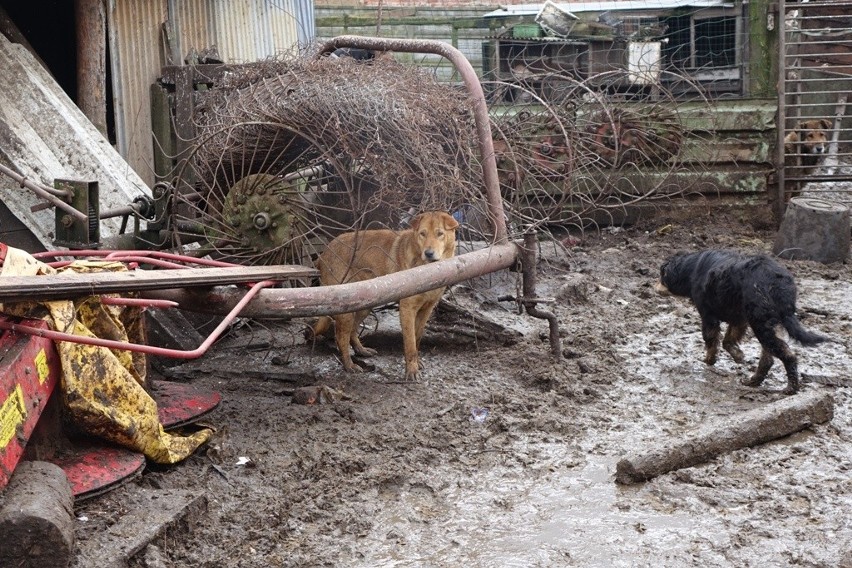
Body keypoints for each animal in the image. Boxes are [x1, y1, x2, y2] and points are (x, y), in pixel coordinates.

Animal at [312, 211, 460, 380]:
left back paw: (361, 350)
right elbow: (410, 343)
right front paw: (412, 370)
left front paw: (417, 363)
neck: (427, 271)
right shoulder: (407, 309)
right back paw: (349, 365)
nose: (428, 253)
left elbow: (417, 337)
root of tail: (323, 253)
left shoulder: (427, 309)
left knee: (353, 331)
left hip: (364, 306)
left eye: (440, 234)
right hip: (346, 309)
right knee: (341, 337)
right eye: (422, 234)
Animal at [656, 248, 828, 394]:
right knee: (768, 357)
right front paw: (739, 356)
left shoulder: (708, 315)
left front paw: (709, 360)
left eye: (661, 275)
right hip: (770, 323)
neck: (689, 270)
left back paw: (790, 388)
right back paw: (753, 381)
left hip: (761, 323)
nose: (654, 287)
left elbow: (710, 339)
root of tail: (778, 284)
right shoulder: (739, 319)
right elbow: (727, 340)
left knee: (787, 355)